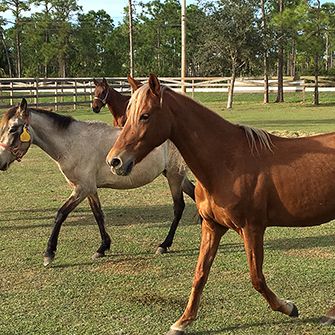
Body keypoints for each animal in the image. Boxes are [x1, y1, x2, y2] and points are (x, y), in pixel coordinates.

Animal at [0, 98, 194, 266]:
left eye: (13, 129)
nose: (0, 162)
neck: (72, 143)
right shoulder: (90, 189)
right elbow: (98, 214)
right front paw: (103, 247)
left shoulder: (82, 188)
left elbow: (61, 214)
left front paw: (49, 253)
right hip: (176, 176)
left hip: (174, 176)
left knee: (179, 207)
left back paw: (164, 245)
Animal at [107, 75, 335, 334]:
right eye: (127, 115)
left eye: (145, 115)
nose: (115, 161)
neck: (226, 162)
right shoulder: (212, 226)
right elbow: (200, 275)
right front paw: (182, 321)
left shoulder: (251, 229)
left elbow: (256, 278)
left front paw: (288, 307)